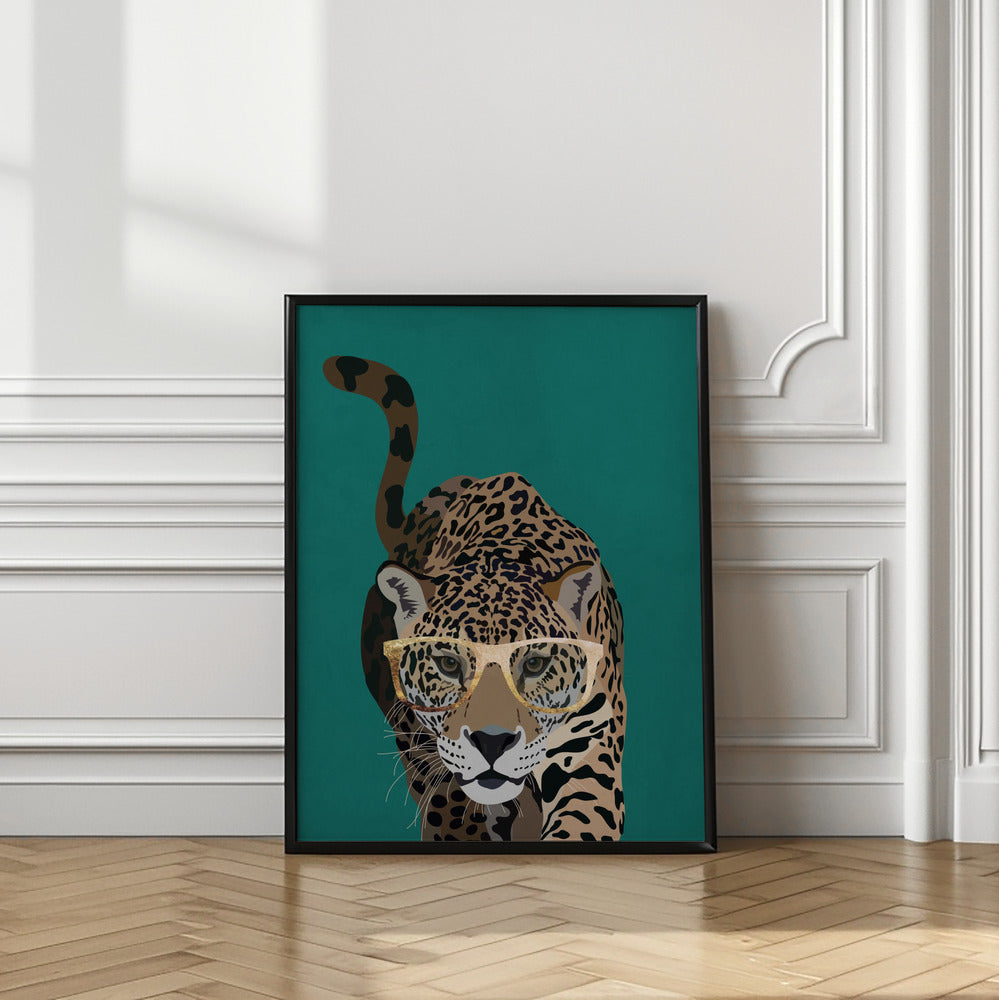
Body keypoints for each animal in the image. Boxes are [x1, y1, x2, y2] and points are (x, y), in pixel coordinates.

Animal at [324, 355, 626, 842]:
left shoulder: (589, 747)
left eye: (535, 664)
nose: (492, 741)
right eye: (448, 663)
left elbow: (583, 823)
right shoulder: (436, 761)